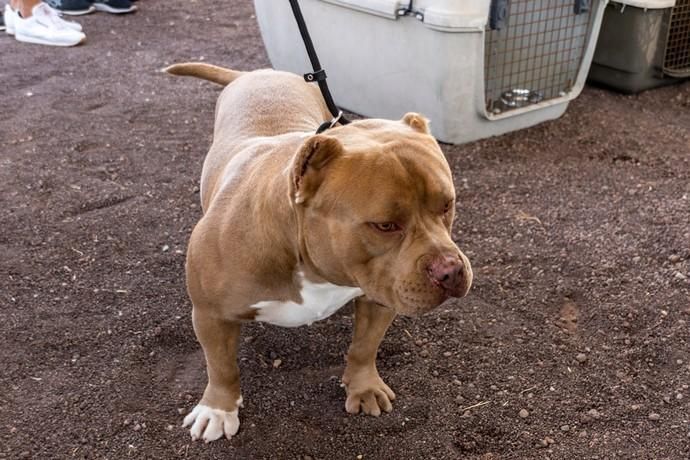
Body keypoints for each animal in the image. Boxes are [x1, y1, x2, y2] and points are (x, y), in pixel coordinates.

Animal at [164, 62, 470, 442]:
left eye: (447, 204)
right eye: (385, 225)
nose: (451, 270)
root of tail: (253, 73)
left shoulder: (379, 295)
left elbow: (364, 346)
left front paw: (364, 387)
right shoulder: (209, 315)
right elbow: (220, 366)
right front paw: (218, 408)